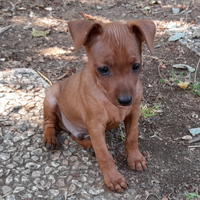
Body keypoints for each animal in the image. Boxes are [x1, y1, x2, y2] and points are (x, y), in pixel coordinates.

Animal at [42, 18, 156, 192]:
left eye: (136, 66)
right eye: (103, 69)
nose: (125, 100)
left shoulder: (133, 113)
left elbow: (132, 137)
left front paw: (135, 158)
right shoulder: (96, 126)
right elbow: (104, 155)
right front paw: (113, 178)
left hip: (80, 130)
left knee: (75, 136)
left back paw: (89, 146)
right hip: (51, 95)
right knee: (48, 122)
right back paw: (50, 138)